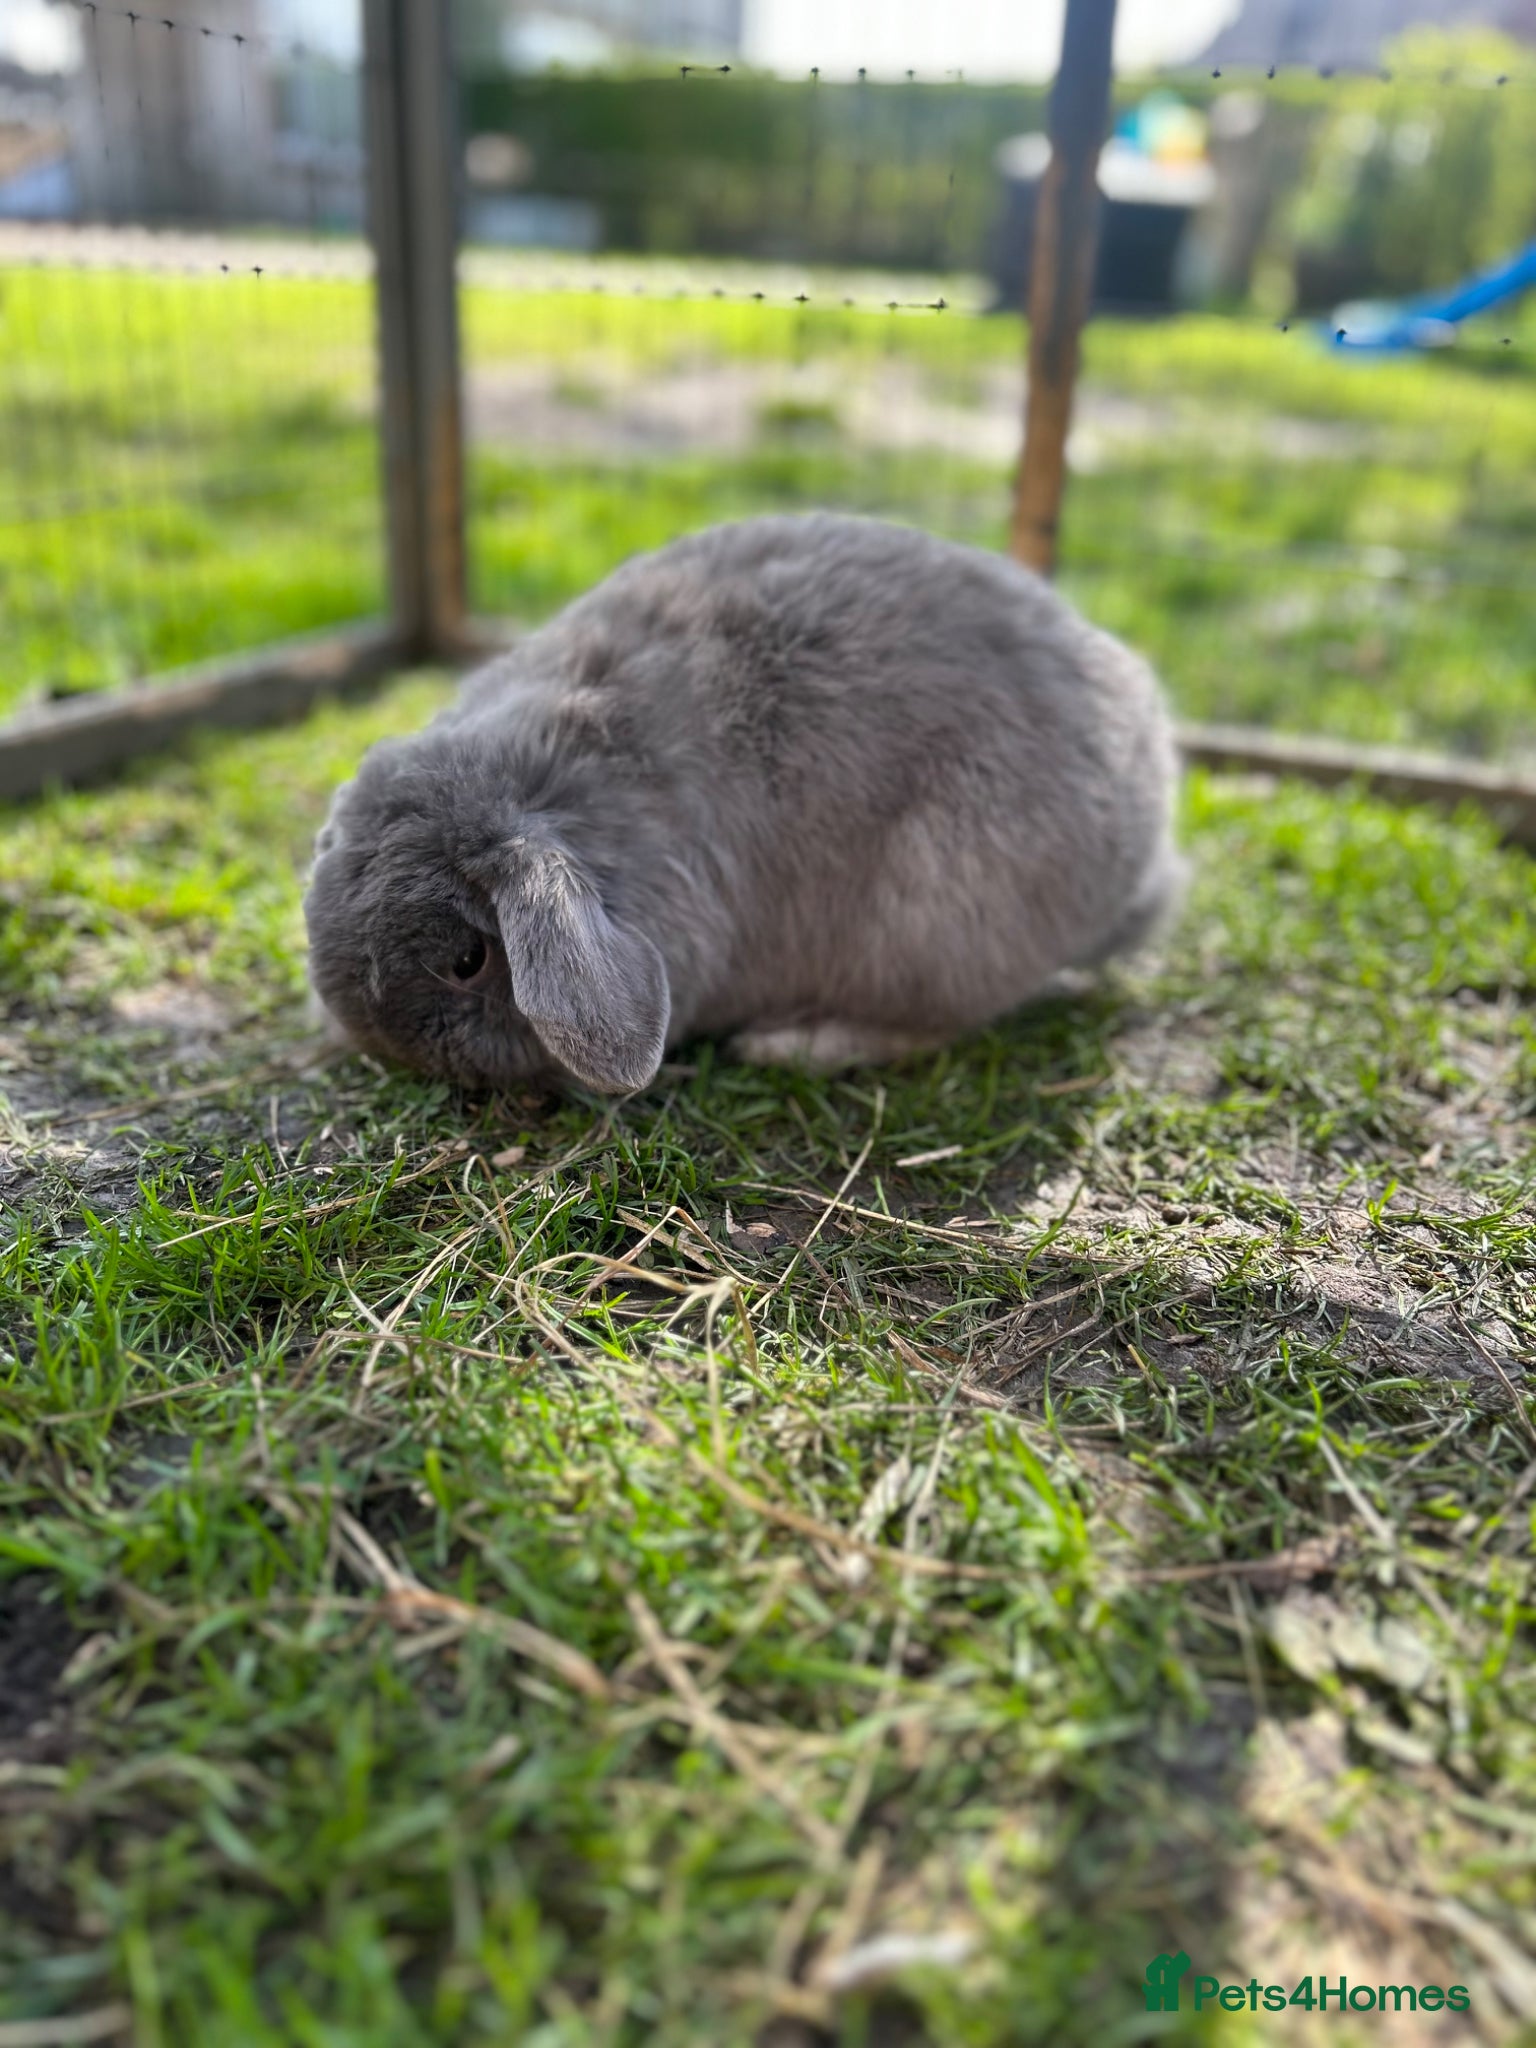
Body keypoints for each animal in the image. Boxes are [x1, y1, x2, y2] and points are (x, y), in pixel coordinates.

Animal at [303, 512, 1184, 1096]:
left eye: (466, 962)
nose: (389, 1050)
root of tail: (1146, 852)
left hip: (935, 919)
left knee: (935, 1024)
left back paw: (787, 1045)